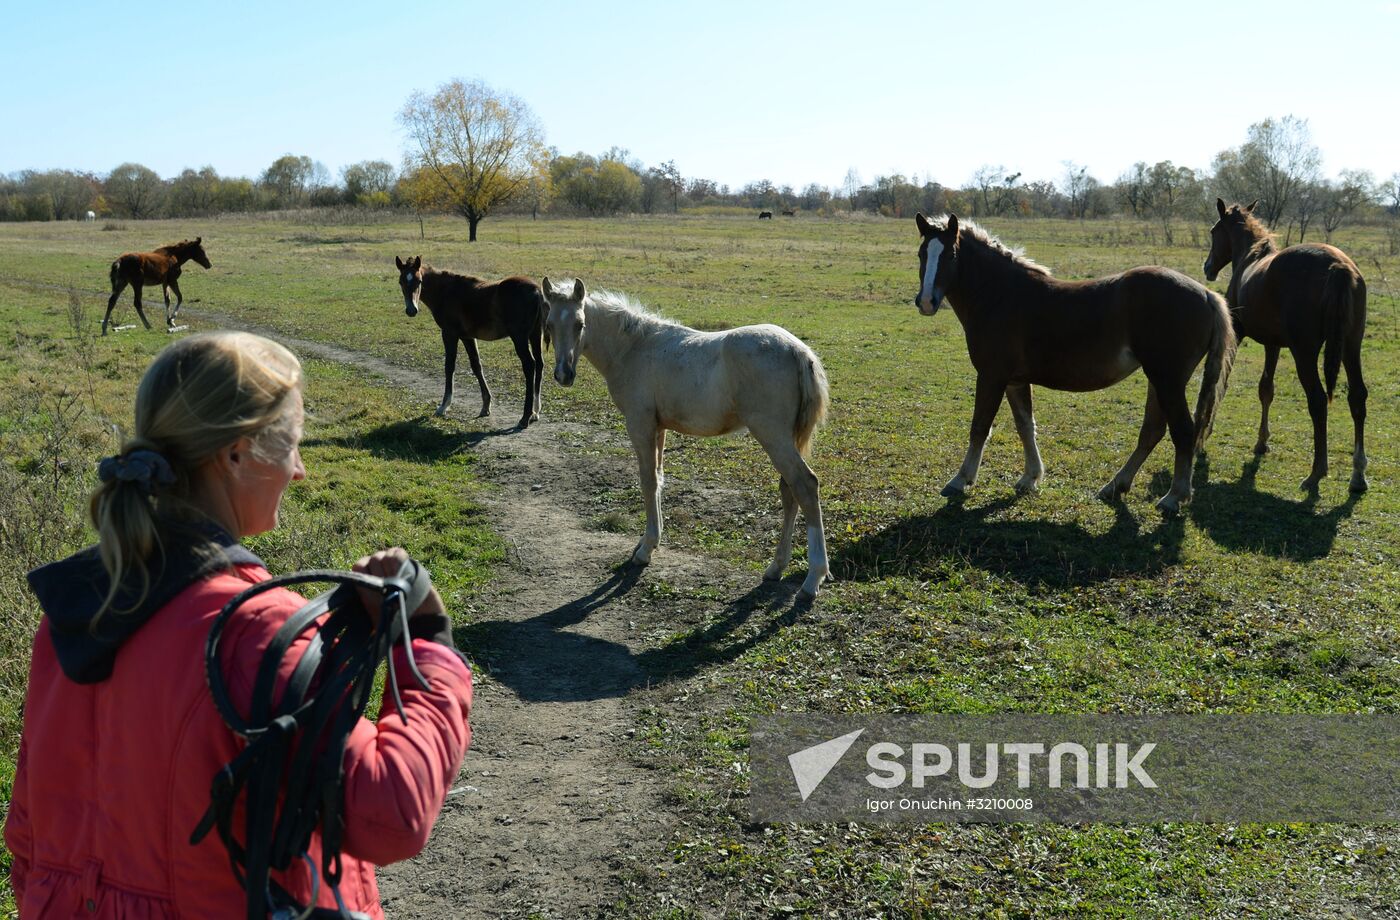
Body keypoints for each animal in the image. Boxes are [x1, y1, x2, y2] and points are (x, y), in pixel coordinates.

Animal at [395, 256, 548, 428]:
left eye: (419, 281)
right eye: (401, 281)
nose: (411, 310)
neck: (445, 293)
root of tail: (537, 291)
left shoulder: (449, 333)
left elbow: (449, 366)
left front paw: (444, 406)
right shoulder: (467, 336)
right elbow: (476, 365)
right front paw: (486, 406)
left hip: (519, 337)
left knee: (529, 365)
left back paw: (525, 417)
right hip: (535, 334)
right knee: (539, 364)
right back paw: (535, 412)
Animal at [541, 277, 832, 597]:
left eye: (580, 323)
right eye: (549, 324)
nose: (563, 375)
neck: (633, 348)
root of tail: (799, 351)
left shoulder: (640, 423)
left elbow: (647, 481)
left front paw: (646, 549)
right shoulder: (659, 428)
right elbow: (658, 479)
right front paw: (650, 540)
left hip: (773, 435)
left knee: (805, 485)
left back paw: (813, 577)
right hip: (788, 438)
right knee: (789, 491)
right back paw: (776, 567)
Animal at [914, 212, 1234, 513]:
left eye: (950, 255)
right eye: (921, 254)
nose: (927, 301)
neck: (1000, 295)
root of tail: (1207, 294)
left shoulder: (992, 376)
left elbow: (980, 427)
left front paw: (960, 480)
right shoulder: (1015, 380)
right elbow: (1025, 425)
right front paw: (1030, 477)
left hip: (1168, 380)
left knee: (1183, 432)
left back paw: (1173, 497)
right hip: (1158, 380)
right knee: (1152, 432)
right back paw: (1116, 486)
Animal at [1203, 198, 1369, 493]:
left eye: (1214, 230)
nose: (1207, 267)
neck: (1250, 257)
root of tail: (1338, 266)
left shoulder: (1239, 334)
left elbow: (1223, 380)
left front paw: (1206, 432)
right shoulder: (1273, 344)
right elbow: (1266, 390)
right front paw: (1261, 442)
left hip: (1305, 352)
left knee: (1317, 401)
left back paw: (1316, 473)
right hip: (1351, 346)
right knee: (1357, 397)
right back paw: (1358, 475)